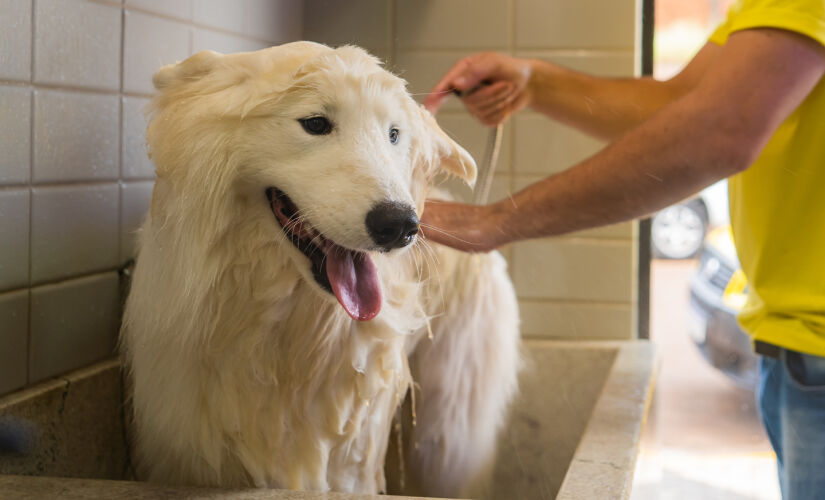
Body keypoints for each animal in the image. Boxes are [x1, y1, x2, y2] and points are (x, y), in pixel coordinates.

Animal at [120, 42, 520, 496]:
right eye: (315, 123)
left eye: (393, 134)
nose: (401, 226)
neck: (286, 338)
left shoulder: (350, 456)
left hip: (447, 433)